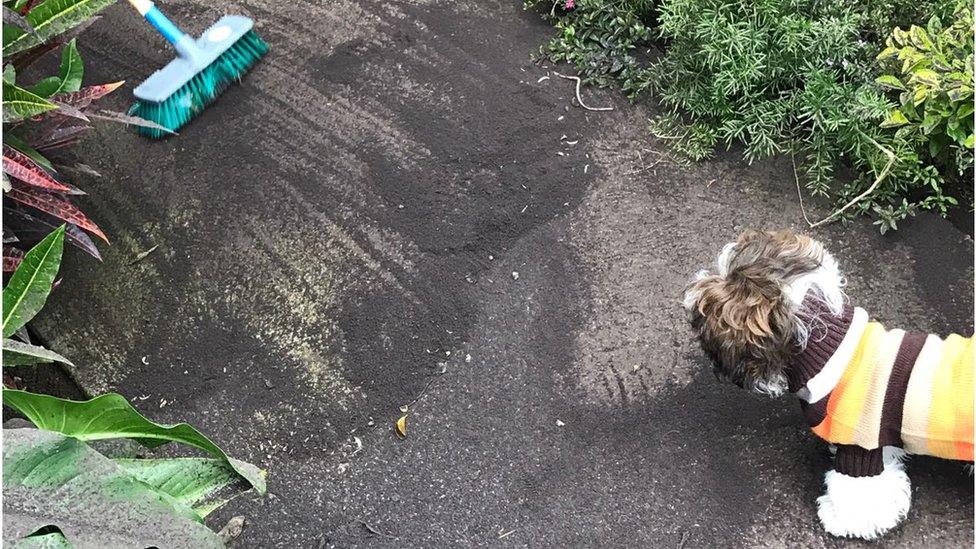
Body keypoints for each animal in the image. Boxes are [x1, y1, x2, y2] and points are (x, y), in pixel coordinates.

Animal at [684, 228, 972, 540]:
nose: (692, 287)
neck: (831, 351)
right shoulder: (879, 441)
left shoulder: (859, 446)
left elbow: (858, 493)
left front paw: (841, 519)